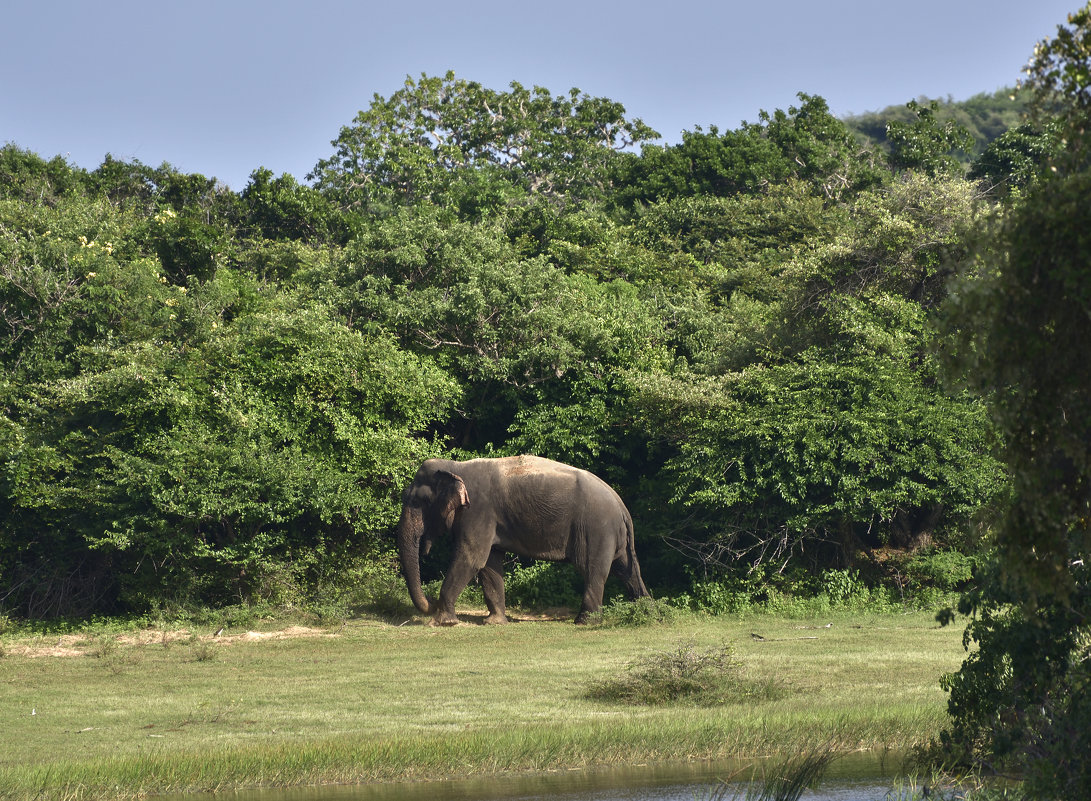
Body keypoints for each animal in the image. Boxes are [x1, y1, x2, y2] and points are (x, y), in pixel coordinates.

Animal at [397, 458, 645, 628]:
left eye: (418, 501)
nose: (430, 601)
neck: (455, 467)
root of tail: (622, 507)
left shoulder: (478, 511)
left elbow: (471, 558)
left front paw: (441, 622)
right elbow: (489, 563)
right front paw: (495, 622)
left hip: (597, 530)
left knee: (593, 570)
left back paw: (584, 622)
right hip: (613, 536)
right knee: (627, 570)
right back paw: (647, 610)